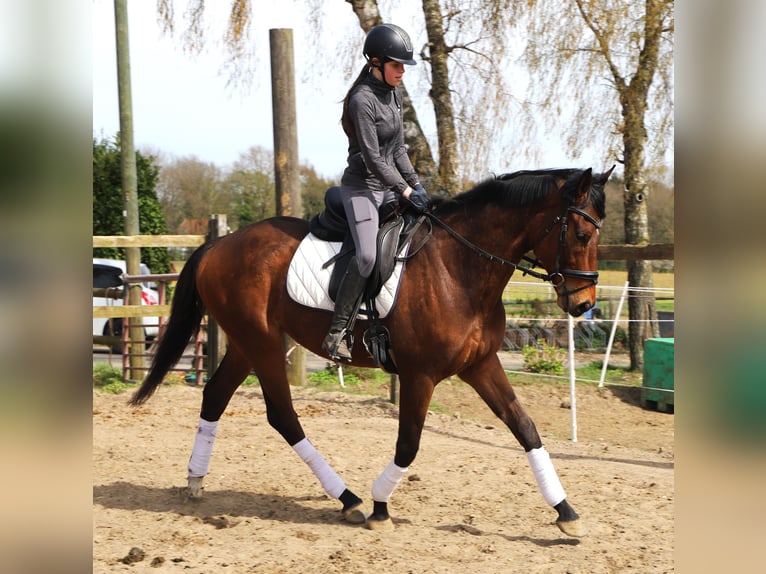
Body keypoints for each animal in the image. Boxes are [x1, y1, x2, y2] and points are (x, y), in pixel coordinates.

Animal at [130, 165, 614, 537]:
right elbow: (408, 444)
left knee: (215, 395)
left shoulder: (480, 365)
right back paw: (349, 498)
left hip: (248, 345)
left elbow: (526, 428)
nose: (583, 304)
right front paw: (382, 507)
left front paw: (566, 512)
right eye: (582, 233)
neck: (459, 268)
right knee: (282, 414)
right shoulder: (420, 375)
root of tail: (218, 244)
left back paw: (196, 479)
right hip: (263, 344)